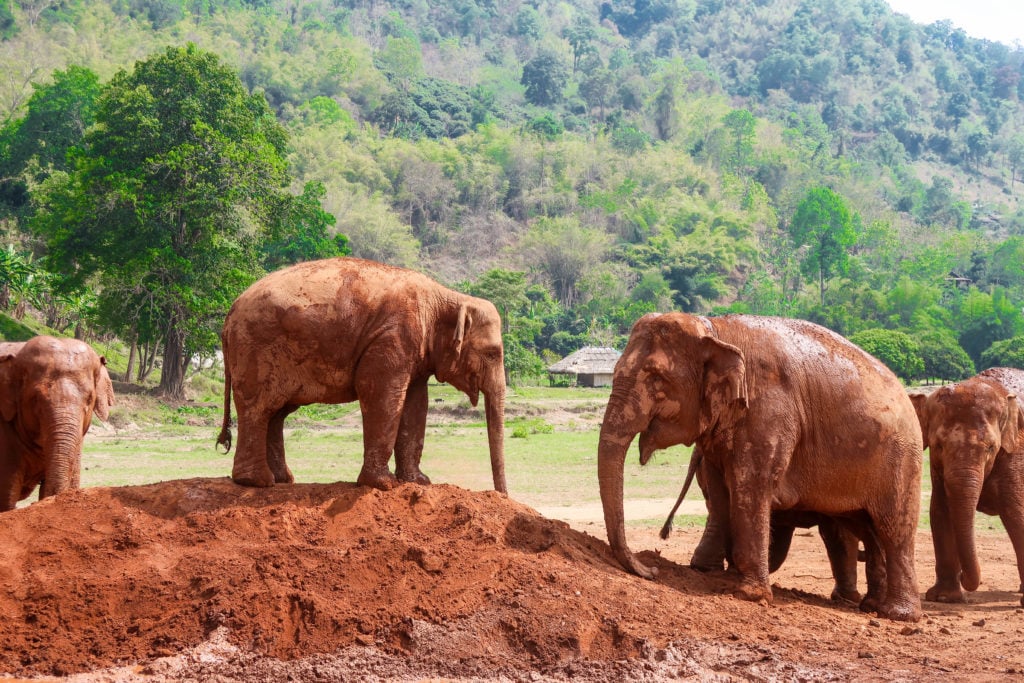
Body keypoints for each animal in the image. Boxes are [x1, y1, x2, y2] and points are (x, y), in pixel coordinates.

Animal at [218, 255, 505, 491]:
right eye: (493, 353)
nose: (500, 494)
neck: (444, 297)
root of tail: (229, 313)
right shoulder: (393, 338)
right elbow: (379, 394)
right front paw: (383, 484)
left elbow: (416, 404)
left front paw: (419, 482)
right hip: (256, 350)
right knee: (259, 409)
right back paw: (257, 482)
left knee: (276, 413)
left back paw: (281, 480)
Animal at [598, 313, 925, 622]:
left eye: (656, 378)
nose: (651, 569)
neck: (715, 328)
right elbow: (721, 494)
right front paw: (720, 577)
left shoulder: (769, 411)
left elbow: (751, 486)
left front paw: (749, 595)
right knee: (866, 528)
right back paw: (872, 606)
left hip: (901, 458)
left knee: (893, 527)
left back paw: (897, 614)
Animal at [913, 366, 1024, 606]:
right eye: (938, 445)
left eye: (991, 447)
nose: (964, 576)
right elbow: (940, 511)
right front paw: (944, 597)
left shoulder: (1015, 453)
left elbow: (1015, 513)